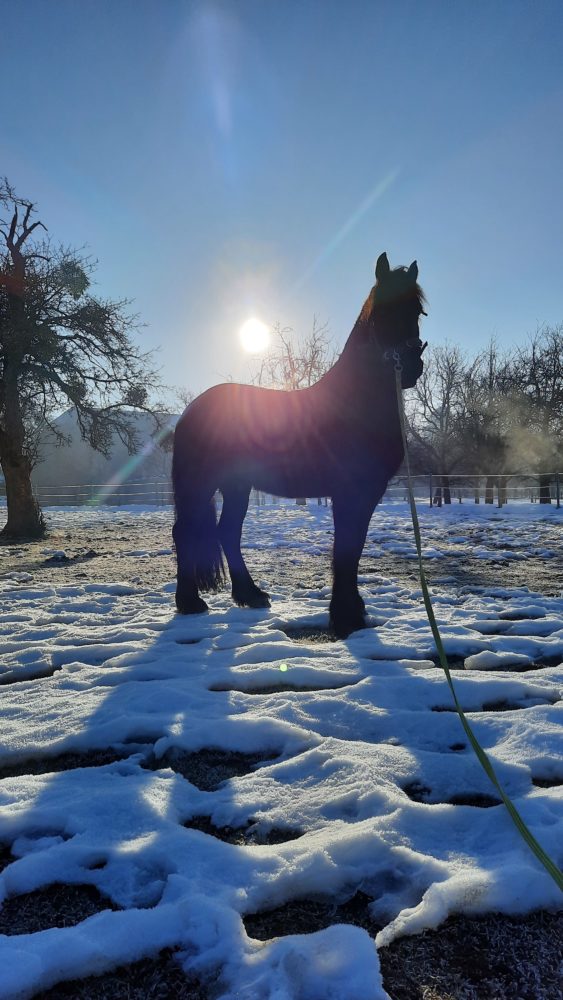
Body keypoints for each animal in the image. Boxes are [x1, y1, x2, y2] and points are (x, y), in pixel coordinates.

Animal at [172, 254, 428, 636]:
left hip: (236, 486)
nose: (411, 368)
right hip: (199, 484)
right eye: (382, 311)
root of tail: (190, 411)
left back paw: (250, 595)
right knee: (185, 532)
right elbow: (345, 550)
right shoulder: (350, 491)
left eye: (418, 312)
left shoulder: (368, 492)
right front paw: (346, 616)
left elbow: (354, 549)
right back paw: (190, 603)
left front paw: (353, 611)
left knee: (227, 532)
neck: (355, 402)